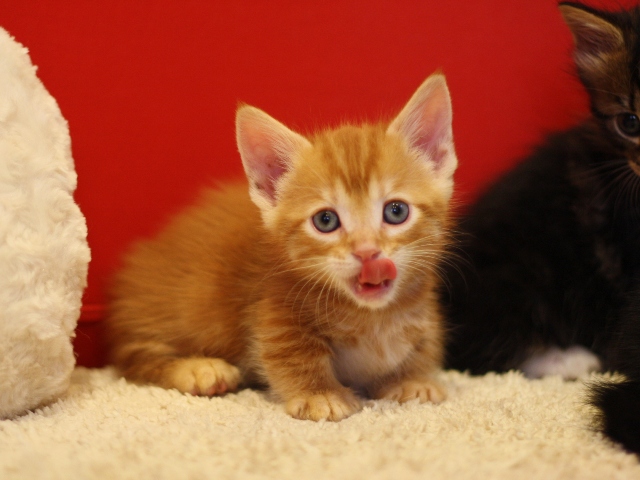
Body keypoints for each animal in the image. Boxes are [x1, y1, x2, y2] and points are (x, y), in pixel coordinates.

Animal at [109, 71, 460, 420]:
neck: (372, 317)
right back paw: (197, 369)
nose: (366, 251)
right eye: (326, 221)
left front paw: (412, 379)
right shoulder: (276, 309)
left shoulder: (423, 313)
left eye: (396, 211)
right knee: (135, 355)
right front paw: (320, 394)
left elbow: (423, 344)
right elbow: (290, 353)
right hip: (186, 304)